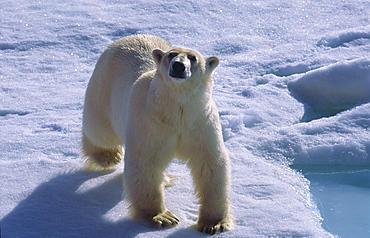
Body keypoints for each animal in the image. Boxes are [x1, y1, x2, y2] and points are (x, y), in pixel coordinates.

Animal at [82, 34, 233, 234]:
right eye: (172, 55)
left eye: (193, 58)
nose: (178, 66)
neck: (175, 112)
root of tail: (128, 37)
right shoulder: (150, 123)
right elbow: (146, 162)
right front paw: (162, 218)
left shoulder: (200, 122)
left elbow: (209, 163)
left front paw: (214, 223)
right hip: (103, 87)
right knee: (100, 130)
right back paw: (108, 156)